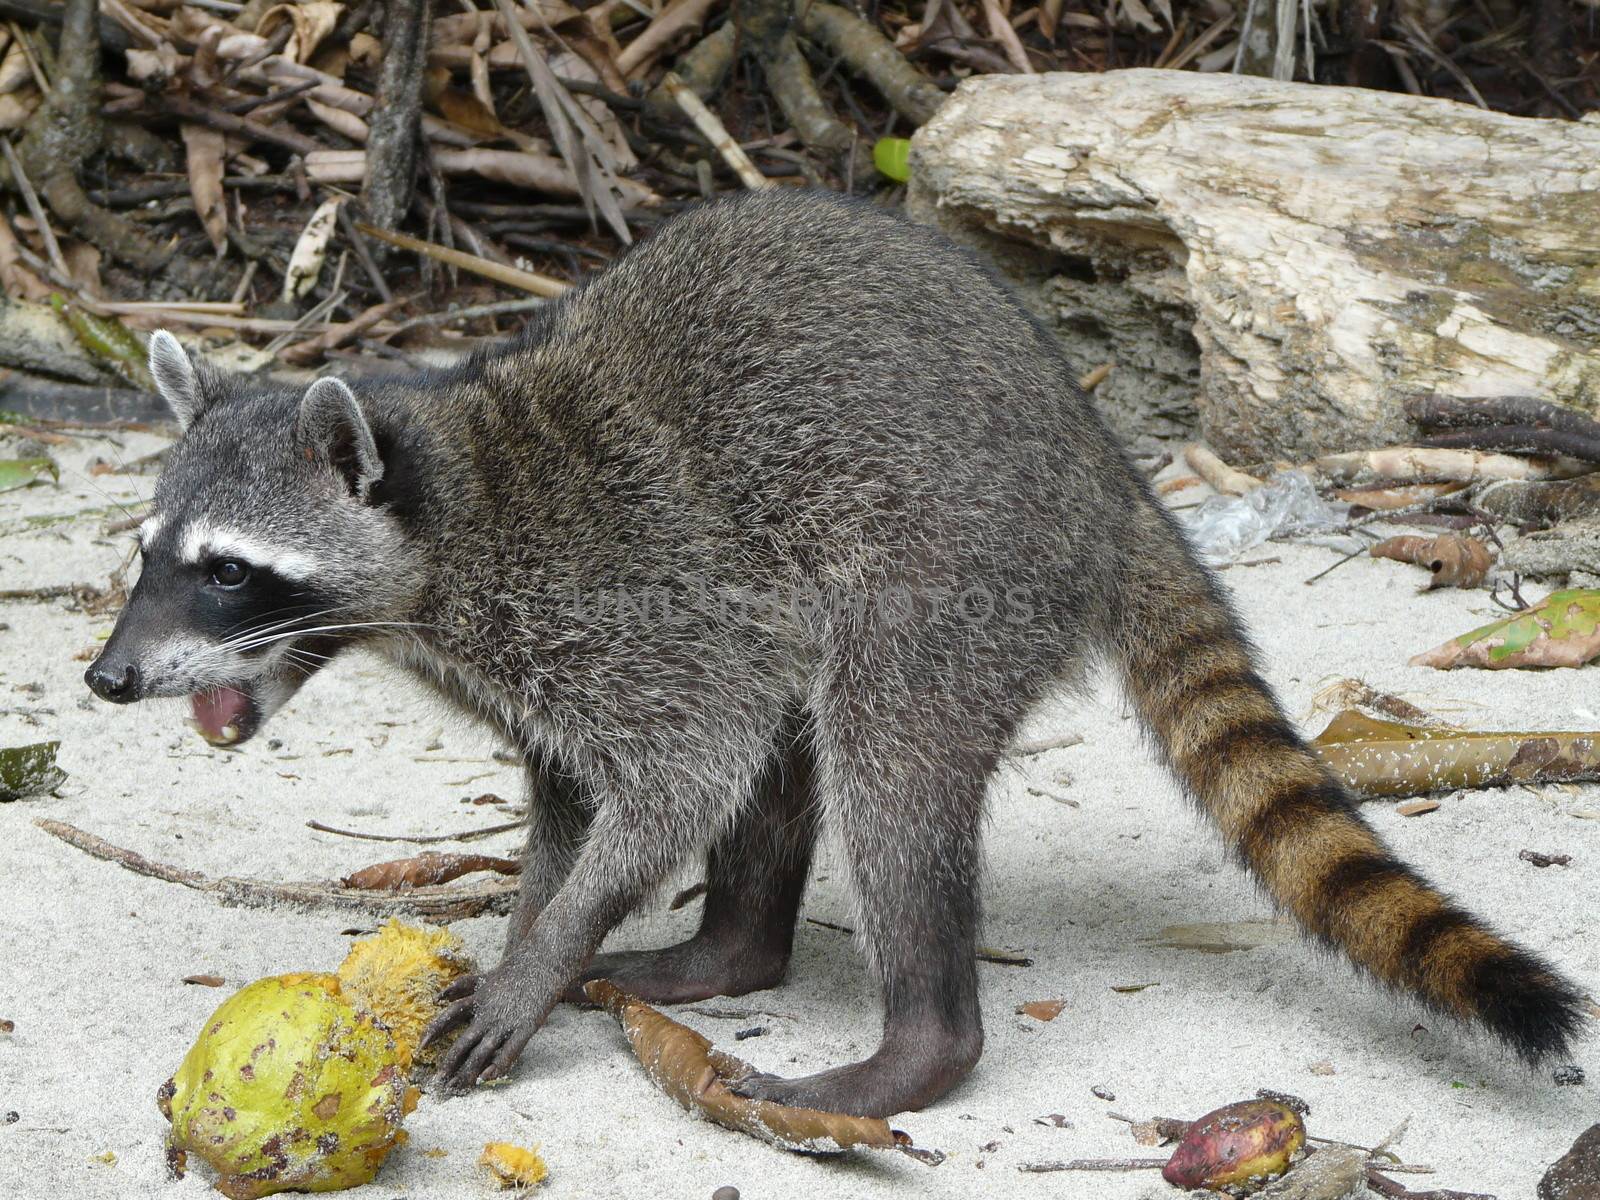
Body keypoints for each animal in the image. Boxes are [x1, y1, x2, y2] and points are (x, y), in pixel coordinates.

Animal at [90, 190, 1587, 1120]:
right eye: (149, 552)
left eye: (228, 571)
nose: (107, 679)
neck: (451, 500)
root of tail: (1103, 466)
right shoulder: (546, 673)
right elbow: (581, 806)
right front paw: (539, 932)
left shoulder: (622, 604)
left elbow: (682, 773)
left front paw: (546, 948)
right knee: (791, 737)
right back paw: (732, 953)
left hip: (948, 575)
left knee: (882, 759)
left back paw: (915, 1047)